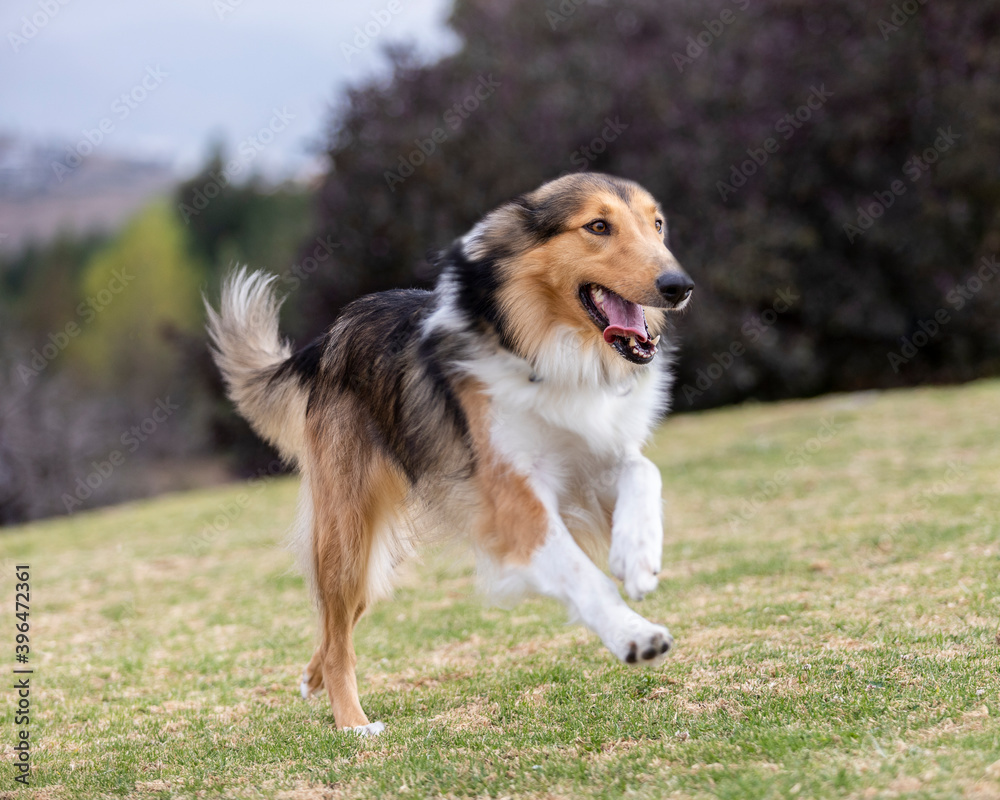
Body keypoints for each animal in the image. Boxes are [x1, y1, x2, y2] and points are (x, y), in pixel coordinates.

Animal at [207, 175, 692, 736]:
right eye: (597, 226)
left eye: (657, 224)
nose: (680, 286)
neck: (549, 347)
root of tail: (330, 336)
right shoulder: (512, 498)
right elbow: (579, 573)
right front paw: (632, 634)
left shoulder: (595, 458)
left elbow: (644, 471)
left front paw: (637, 557)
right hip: (346, 533)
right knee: (338, 632)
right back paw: (352, 722)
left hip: (373, 555)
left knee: (339, 621)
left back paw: (314, 680)